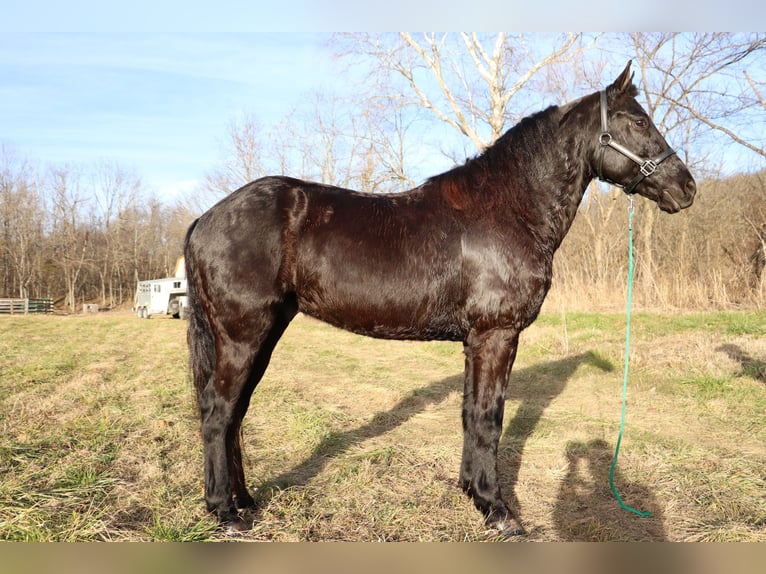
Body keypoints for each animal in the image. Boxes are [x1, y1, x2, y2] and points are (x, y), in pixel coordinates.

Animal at [184, 62, 696, 536]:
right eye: (638, 121)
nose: (687, 187)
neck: (509, 209)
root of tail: (205, 220)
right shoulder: (496, 335)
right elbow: (489, 417)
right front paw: (498, 511)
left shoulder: (476, 340)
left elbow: (471, 413)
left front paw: (472, 492)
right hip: (243, 336)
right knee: (218, 411)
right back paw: (225, 513)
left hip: (264, 334)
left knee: (235, 412)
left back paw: (245, 501)